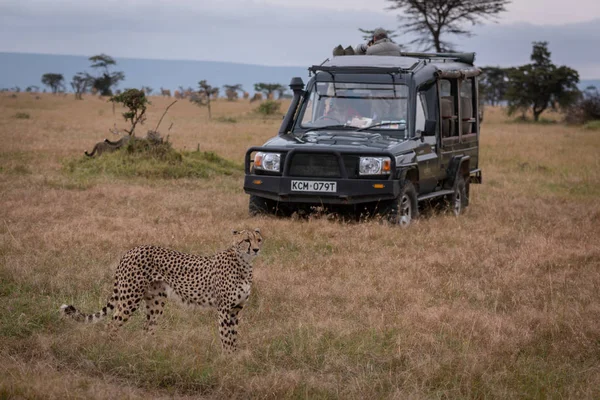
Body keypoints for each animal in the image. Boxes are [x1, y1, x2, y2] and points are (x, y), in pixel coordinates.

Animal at [60, 228, 262, 354]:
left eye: (258, 239)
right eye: (246, 240)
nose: (257, 249)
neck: (244, 263)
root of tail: (131, 250)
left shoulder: (236, 309)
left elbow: (233, 337)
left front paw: (234, 359)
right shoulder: (225, 309)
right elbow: (226, 337)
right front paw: (227, 359)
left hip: (156, 301)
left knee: (147, 327)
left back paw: (149, 352)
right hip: (130, 298)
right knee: (112, 324)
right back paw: (109, 350)